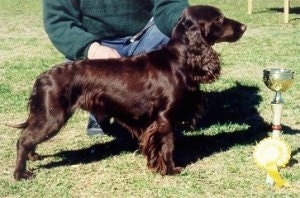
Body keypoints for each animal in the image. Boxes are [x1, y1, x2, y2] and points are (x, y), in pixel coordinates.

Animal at [11, 5, 246, 180]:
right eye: (218, 19)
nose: (244, 26)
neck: (181, 60)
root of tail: (42, 77)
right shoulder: (164, 117)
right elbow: (168, 146)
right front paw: (170, 170)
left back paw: (33, 156)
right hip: (53, 117)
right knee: (23, 140)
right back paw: (21, 174)